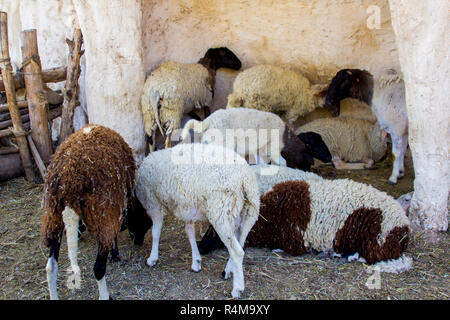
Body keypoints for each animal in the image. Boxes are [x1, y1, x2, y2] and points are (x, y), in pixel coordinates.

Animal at [41, 124, 142, 298]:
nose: (137, 241)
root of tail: (69, 181)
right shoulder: (114, 208)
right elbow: (114, 235)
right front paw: (115, 255)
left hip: (53, 216)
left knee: (51, 267)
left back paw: (53, 296)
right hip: (101, 212)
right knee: (98, 268)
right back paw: (105, 295)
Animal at [134, 142, 260, 298]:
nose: (136, 241)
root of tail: (245, 178)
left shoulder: (154, 204)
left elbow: (155, 233)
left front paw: (152, 258)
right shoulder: (187, 207)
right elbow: (189, 232)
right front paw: (196, 262)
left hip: (222, 213)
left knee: (237, 252)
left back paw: (237, 289)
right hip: (246, 214)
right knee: (239, 243)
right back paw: (228, 271)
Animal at [199, 165, 410, 270]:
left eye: (214, 231)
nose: (201, 248)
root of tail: (404, 228)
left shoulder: (293, 239)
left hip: (377, 239)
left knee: (373, 256)